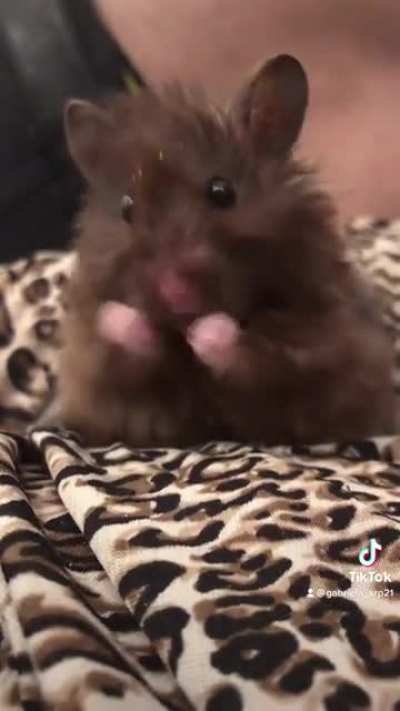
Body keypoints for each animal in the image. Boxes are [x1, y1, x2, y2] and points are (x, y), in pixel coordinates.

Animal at [56, 54, 396, 447]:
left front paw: (203, 331)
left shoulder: (325, 343)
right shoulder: (97, 371)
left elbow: (262, 353)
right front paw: (123, 318)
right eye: (127, 208)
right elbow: (119, 342)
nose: (173, 292)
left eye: (222, 192)